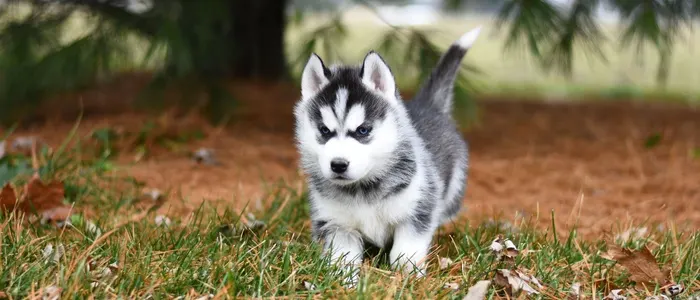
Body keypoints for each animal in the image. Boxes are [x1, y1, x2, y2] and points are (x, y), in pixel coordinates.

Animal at [292, 27, 482, 284]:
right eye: (324, 130)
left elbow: (405, 251)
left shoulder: (417, 212)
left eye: (363, 130)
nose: (338, 165)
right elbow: (343, 258)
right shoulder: (337, 225)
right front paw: (345, 283)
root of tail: (428, 106)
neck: (362, 190)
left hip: (452, 190)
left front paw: (409, 279)